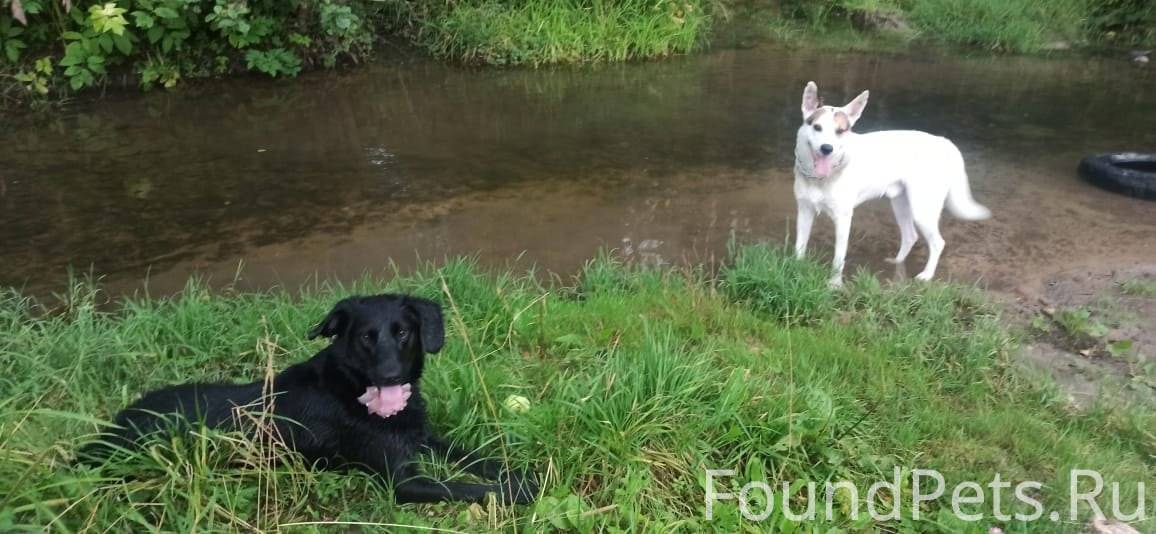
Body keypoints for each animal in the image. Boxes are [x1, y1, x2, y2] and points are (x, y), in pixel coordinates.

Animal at [79, 294, 538, 505]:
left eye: (403, 333)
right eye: (365, 337)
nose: (390, 376)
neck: (353, 391)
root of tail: (103, 437)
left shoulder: (422, 438)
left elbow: (474, 457)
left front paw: (518, 471)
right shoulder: (403, 481)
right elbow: (468, 488)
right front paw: (518, 489)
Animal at [792, 81, 991, 287]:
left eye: (840, 131)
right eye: (817, 127)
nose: (827, 148)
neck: (820, 178)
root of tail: (945, 143)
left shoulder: (843, 218)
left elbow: (838, 258)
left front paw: (834, 284)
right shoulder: (804, 211)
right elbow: (799, 247)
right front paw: (795, 270)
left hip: (923, 210)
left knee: (938, 242)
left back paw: (927, 275)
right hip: (901, 204)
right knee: (910, 236)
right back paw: (897, 262)